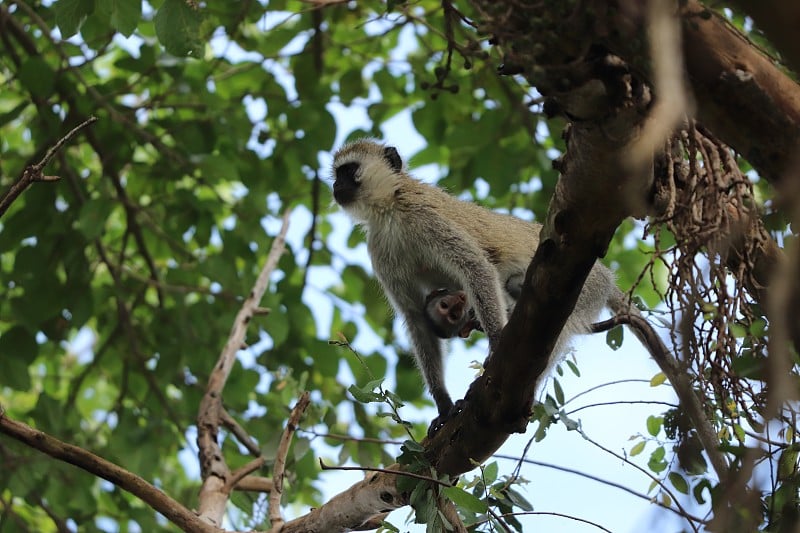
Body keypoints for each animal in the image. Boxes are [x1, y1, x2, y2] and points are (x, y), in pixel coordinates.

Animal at [332, 139, 620, 422]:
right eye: (336, 175)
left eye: (348, 170)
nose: (335, 186)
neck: (389, 210)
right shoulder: (380, 250)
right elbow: (415, 315)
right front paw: (443, 404)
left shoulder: (424, 216)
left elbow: (476, 267)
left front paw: (496, 342)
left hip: (587, 288)